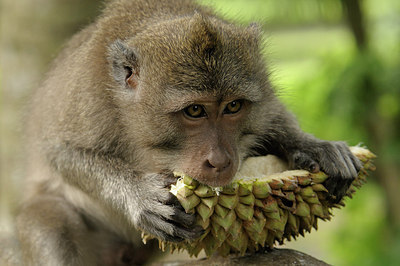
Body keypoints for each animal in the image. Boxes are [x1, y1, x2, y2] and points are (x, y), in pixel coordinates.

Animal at [4, 0, 360, 264]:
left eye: (233, 106)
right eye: (194, 111)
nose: (219, 161)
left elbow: (272, 117)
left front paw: (313, 146)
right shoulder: (89, 99)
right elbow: (61, 152)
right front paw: (138, 194)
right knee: (51, 224)